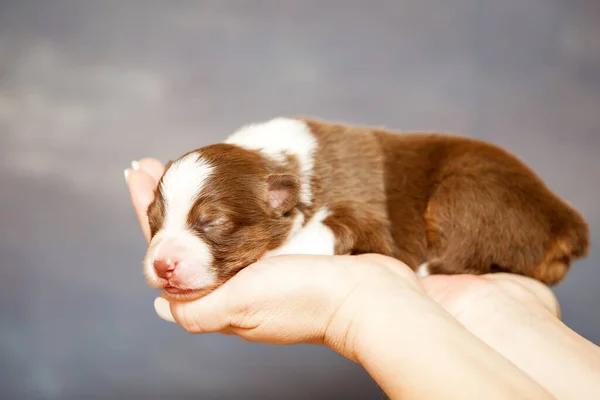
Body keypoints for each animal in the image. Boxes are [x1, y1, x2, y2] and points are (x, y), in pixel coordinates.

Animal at [142, 118, 592, 300]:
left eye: (212, 222)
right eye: (154, 221)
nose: (162, 265)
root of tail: (567, 222)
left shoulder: (365, 217)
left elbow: (327, 231)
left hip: (467, 194)